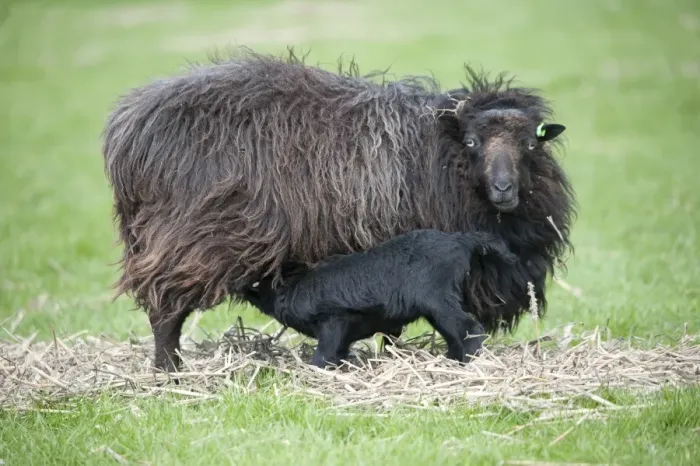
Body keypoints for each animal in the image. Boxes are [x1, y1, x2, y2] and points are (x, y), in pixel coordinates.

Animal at [102, 48, 576, 371]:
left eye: (530, 144)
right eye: (473, 142)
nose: (503, 189)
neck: (440, 154)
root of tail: (129, 129)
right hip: (187, 241)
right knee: (165, 311)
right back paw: (170, 371)